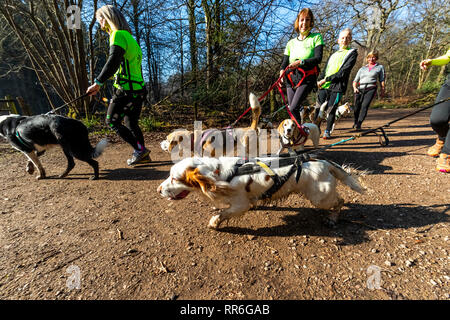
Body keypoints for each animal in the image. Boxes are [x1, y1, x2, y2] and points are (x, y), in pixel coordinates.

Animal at [156, 156, 364, 229]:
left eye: (175, 179)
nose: (158, 190)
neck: (220, 174)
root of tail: (325, 162)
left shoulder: (241, 205)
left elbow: (223, 213)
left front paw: (214, 222)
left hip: (320, 197)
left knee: (340, 201)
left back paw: (332, 219)